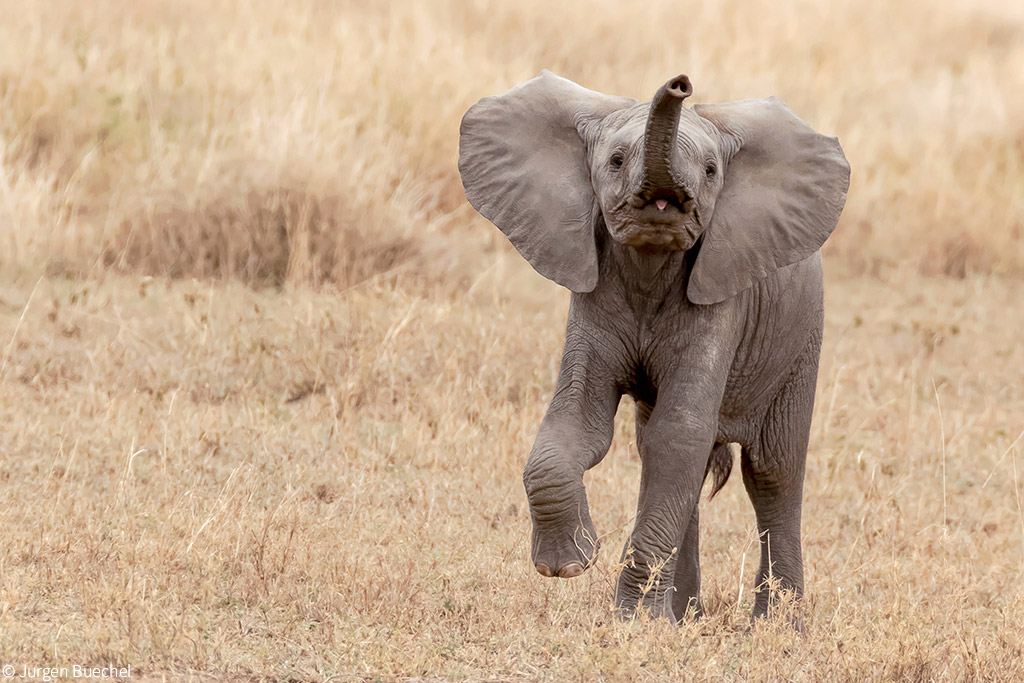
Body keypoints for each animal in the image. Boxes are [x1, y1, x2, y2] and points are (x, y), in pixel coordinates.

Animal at [460, 70, 851, 626]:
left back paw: (775, 627)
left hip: (800, 336)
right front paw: (572, 564)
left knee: (773, 471)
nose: (681, 83)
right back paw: (685, 616)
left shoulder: (722, 304)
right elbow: (582, 422)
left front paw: (632, 621)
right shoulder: (594, 294)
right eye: (616, 160)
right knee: (660, 452)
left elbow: (681, 433)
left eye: (711, 171)